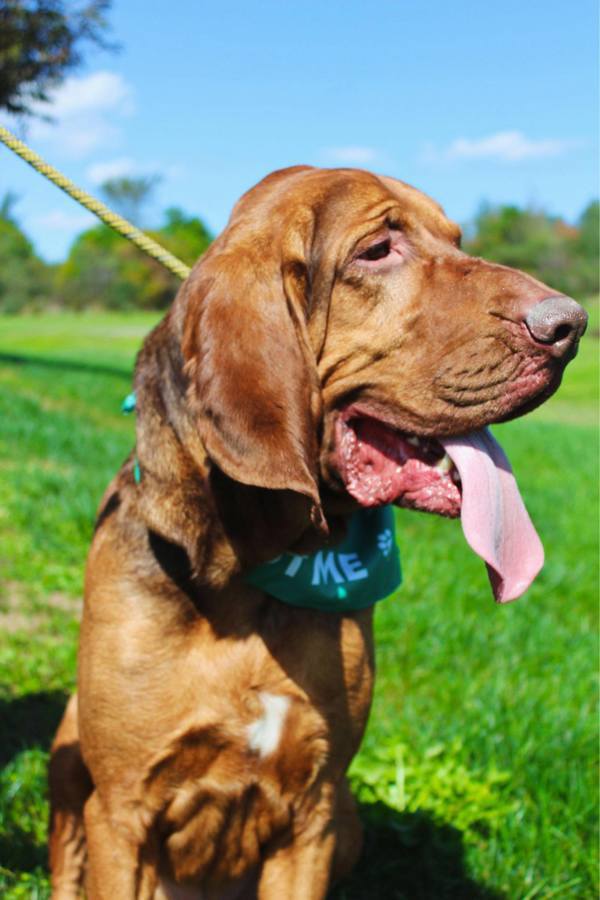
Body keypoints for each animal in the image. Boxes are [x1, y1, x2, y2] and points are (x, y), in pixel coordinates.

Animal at [47, 165, 584, 896]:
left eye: (456, 240)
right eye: (377, 251)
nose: (571, 325)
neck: (255, 581)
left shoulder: (315, 807)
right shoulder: (121, 811)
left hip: (349, 816)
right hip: (67, 752)